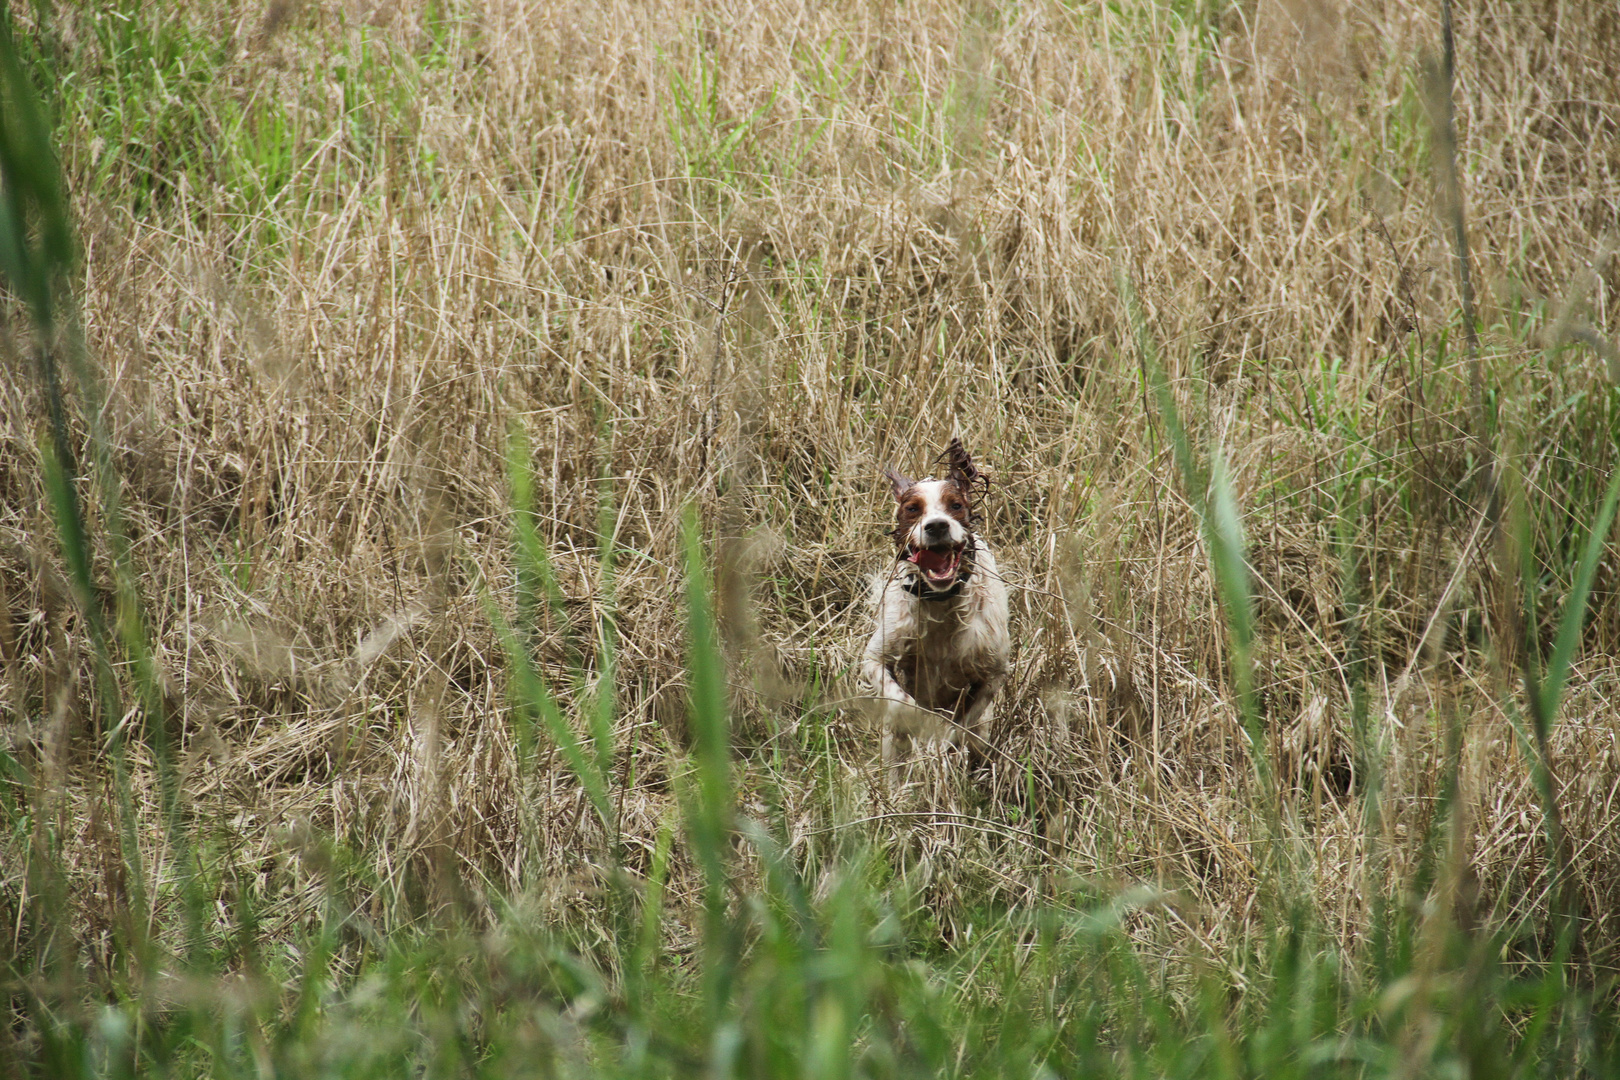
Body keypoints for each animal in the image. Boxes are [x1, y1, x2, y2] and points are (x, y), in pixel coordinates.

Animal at [861, 437, 1010, 761]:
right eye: (912, 509)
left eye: (956, 505)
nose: (937, 525)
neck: (941, 602)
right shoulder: (875, 657)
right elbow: (901, 701)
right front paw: (918, 722)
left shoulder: (992, 674)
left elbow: (961, 724)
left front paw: (941, 744)